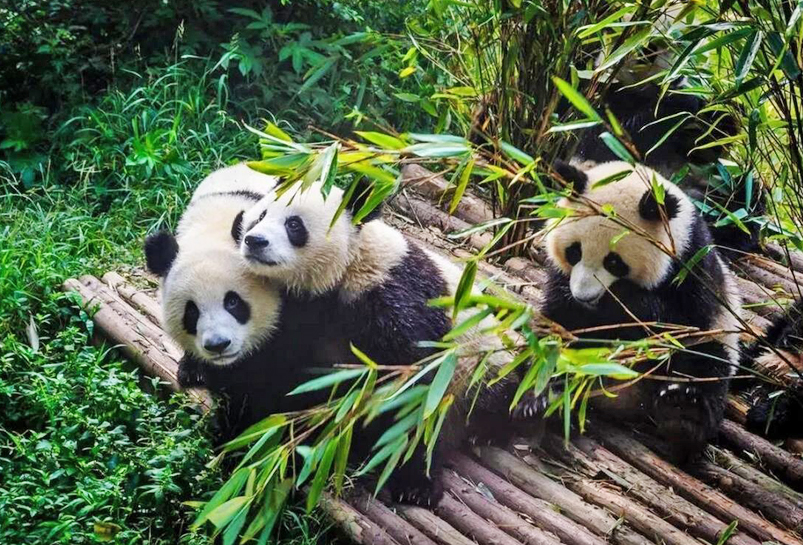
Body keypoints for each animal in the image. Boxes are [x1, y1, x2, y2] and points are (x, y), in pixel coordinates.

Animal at [232, 179, 521, 505]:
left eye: (294, 225)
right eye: (260, 215)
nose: (254, 241)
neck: (348, 267)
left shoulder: (394, 296)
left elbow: (417, 388)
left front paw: (415, 484)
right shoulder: (302, 313)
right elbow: (285, 372)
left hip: (486, 361)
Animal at [539, 160, 742, 460]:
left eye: (614, 262)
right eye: (574, 252)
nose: (584, 296)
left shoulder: (693, 269)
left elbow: (675, 323)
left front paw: (623, 302)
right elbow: (559, 317)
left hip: (717, 341)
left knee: (705, 364)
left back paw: (682, 415)